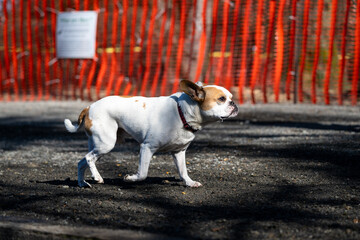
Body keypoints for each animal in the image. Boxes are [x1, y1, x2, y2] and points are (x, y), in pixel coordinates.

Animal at [64, 80, 239, 188]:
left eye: (230, 97)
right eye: (221, 99)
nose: (234, 103)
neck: (182, 112)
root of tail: (89, 107)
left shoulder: (179, 152)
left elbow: (183, 171)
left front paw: (189, 182)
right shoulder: (147, 148)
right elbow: (142, 173)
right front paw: (130, 178)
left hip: (99, 146)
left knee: (82, 162)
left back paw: (82, 183)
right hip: (106, 144)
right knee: (88, 159)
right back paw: (97, 177)